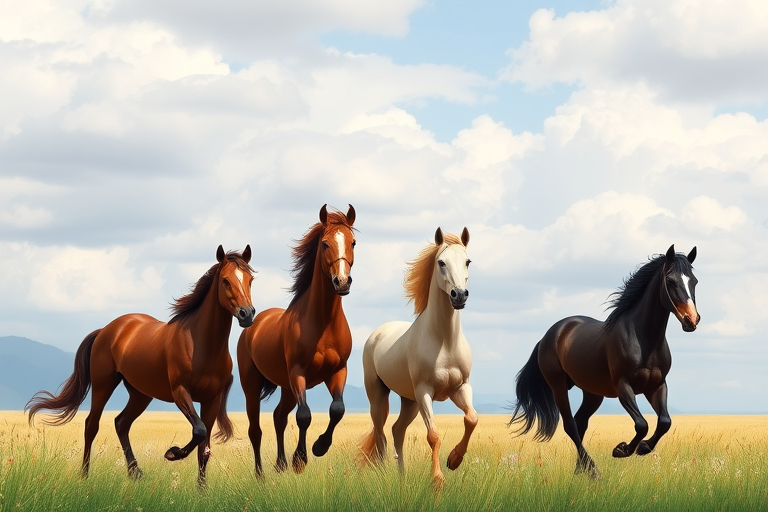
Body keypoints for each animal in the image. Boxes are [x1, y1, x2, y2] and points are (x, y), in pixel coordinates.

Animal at [26, 245, 255, 487]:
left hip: (140, 394)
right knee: (92, 425)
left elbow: (204, 447)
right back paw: (85, 475)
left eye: (250, 279)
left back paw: (135, 472)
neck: (201, 345)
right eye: (225, 280)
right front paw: (172, 453)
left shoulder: (212, 399)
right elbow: (199, 431)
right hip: (103, 385)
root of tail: (107, 329)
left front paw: (201, 489)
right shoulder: (180, 393)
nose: (246, 314)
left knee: (121, 423)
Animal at [237, 204, 356, 476]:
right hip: (253, 385)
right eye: (325, 244)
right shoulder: (298, 373)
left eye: (353, 242)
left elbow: (337, 410)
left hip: (285, 387)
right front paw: (300, 459)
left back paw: (280, 464)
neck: (323, 324)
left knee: (279, 417)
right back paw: (263, 472)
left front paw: (320, 447)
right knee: (256, 428)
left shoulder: (338, 371)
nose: (342, 282)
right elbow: (304, 416)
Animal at [359, 227, 476, 488]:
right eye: (441, 262)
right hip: (378, 396)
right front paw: (438, 481)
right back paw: (385, 477)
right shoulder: (425, 391)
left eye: (468, 261)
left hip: (409, 401)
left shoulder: (460, 388)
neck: (444, 341)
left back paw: (402, 478)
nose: (459, 296)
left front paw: (454, 460)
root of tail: (377, 333)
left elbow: (471, 419)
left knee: (397, 430)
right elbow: (433, 435)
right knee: (381, 435)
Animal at [509, 245, 700, 479]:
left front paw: (643, 448)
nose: (691, 320)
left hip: (592, 393)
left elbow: (664, 422)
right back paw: (592, 471)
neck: (644, 339)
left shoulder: (656, 385)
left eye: (694, 281)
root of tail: (549, 334)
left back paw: (580, 471)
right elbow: (642, 424)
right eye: (671, 281)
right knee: (570, 425)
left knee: (580, 423)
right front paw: (622, 450)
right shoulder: (623, 386)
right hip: (557, 386)